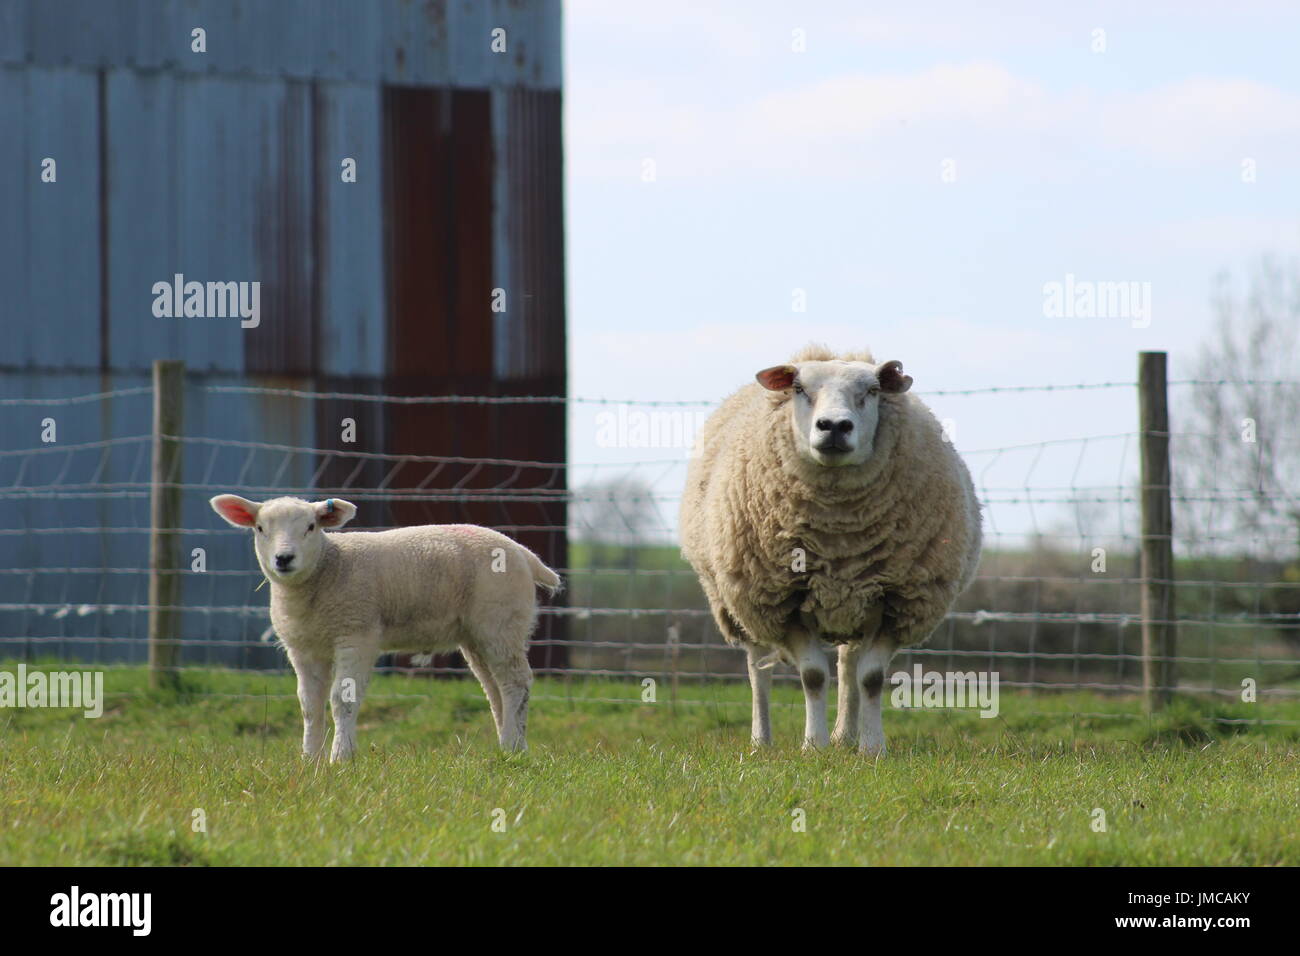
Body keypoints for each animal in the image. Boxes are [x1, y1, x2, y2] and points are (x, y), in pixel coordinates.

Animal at [210, 496, 561, 759]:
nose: (284, 559)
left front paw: (341, 758)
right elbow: (309, 705)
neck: (327, 568)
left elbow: (342, 699)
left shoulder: (357, 634)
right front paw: (310, 759)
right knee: (494, 688)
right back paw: (511, 746)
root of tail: (522, 552)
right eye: (260, 528)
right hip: (477, 634)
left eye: (311, 527)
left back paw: (512, 745)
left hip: (501, 621)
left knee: (516, 682)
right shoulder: (304, 648)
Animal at [686, 343, 977, 754]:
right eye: (798, 389)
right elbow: (812, 675)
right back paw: (763, 741)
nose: (835, 426)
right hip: (743, 601)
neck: (839, 532)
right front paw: (814, 746)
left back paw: (846, 736)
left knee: (849, 664)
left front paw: (872, 748)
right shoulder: (783, 600)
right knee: (758, 668)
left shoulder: (897, 601)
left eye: (872, 390)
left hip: (857, 604)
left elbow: (870, 677)